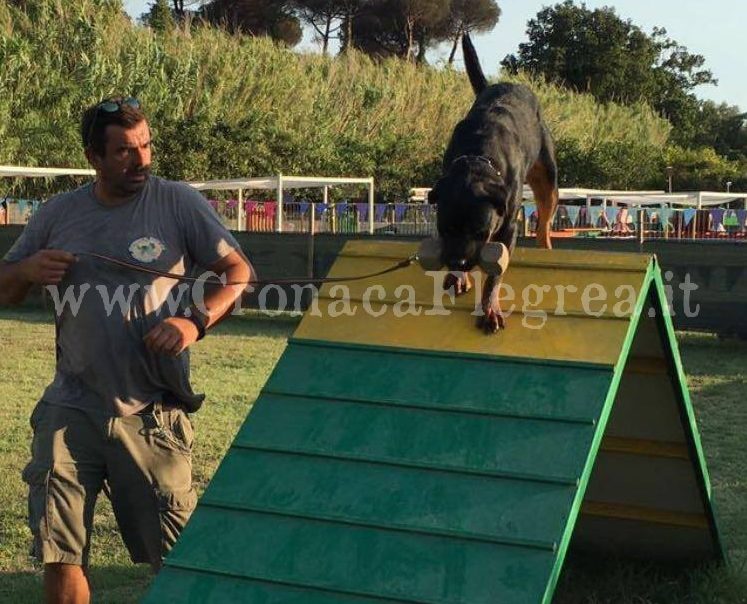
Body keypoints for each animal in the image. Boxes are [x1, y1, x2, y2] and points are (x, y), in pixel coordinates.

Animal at [430, 33, 560, 332]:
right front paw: (458, 277)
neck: (478, 156)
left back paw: (545, 246)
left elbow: (495, 274)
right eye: (445, 229)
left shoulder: (508, 226)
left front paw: (490, 309)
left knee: (544, 222)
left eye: (481, 232)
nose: (459, 262)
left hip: (547, 176)